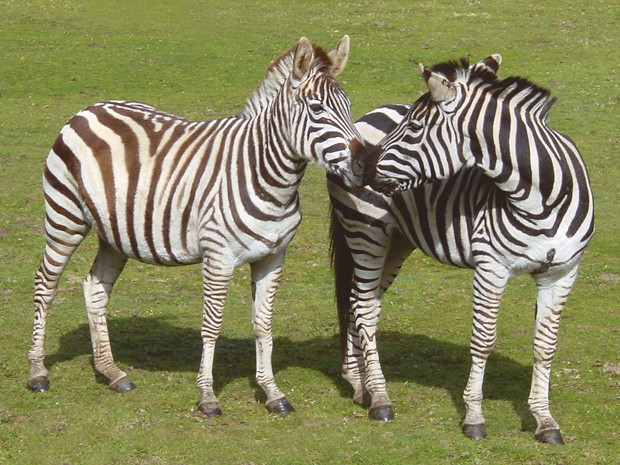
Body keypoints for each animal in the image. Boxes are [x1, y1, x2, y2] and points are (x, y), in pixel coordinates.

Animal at [29, 34, 368, 416]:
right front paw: (207, 396)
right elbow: (212, 324)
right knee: (45, 284)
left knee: (95, 288)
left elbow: (263, 324)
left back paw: (112, 372)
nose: (364, 164)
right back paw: (38, 373)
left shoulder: (273, 257)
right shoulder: (218, 258)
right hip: (64, 218)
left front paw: (272, 392)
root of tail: (89, 109)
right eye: (316, 108)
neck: (267, 176)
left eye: (348, 106)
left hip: (114, 235)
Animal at [330, 54, 596, 442]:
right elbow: (483, 340)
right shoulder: (491, 267)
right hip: (366, 231)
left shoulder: (562, 273)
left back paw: (358, 384)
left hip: (397, 240)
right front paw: (474, 417)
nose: (361, 167)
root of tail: (369, 115)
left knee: (359, 302)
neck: (542, 197)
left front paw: (545, 421)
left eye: (414, 127)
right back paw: (380, 398)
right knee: (364, 308)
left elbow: (546, 345)